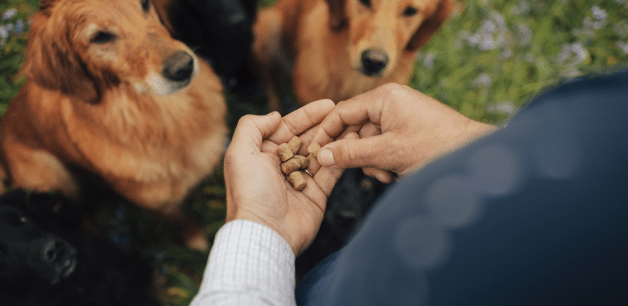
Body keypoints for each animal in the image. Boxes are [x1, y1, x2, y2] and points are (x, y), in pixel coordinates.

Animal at [0, 0, 228, 250]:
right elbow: (175, 218)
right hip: (51, 177)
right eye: (100, 37)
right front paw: (195, 237)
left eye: (145, 4)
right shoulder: (153, 200)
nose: (183, 67)